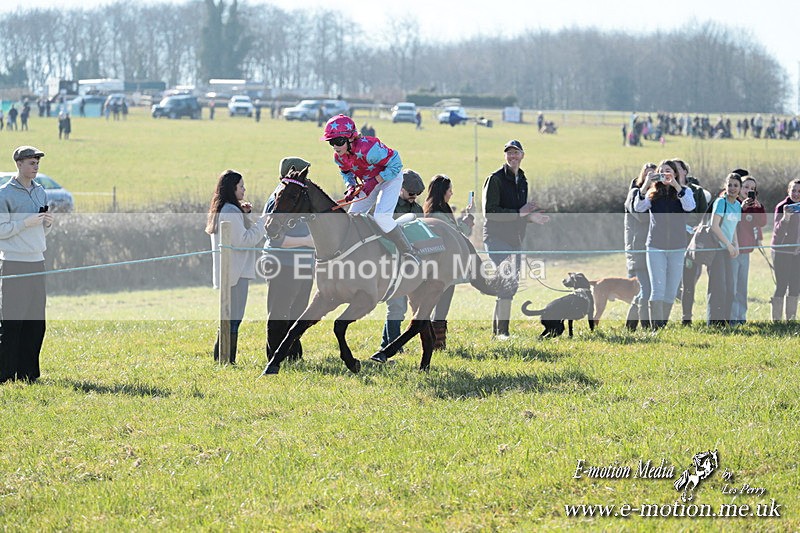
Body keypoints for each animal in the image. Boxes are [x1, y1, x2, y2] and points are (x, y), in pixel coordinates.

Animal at [260, 167, 517, 375]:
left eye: (292, 195)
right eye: (277, 193)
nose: (270, 227)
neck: (340, 243)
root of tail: (456, 233)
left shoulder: (366, 299)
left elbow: (338, 325)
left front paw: (352, 362)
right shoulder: (325, 297)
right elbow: (296, 327)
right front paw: (272, 363)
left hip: (435, 287)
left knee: (416, 325)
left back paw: (384, 352)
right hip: (418, 291)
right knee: (425, 329)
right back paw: (422, 367)